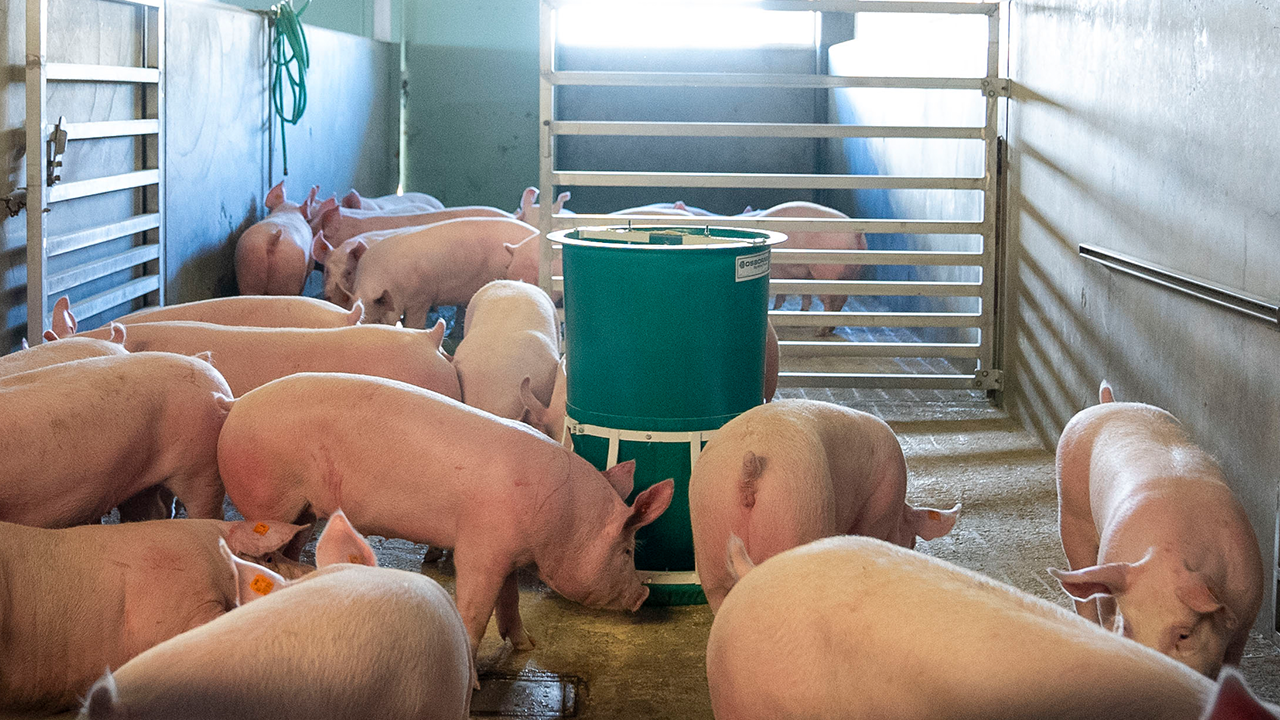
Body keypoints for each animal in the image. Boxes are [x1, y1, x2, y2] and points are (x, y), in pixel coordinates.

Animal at [216, 372, 675, 652]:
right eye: (629, 551)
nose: (644, 594)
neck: (566, 519)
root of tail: (235, 405)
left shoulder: (505, 553)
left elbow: (509, 600)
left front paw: (526, 645)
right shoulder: (479, 548)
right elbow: (474, 608)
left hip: (303, 511)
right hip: (265, 499)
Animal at [688, 399, 959, 612]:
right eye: (912, 542)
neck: (898, 513)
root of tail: (751, 468)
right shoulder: (879, 510)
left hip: (710, 533)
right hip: (800, 509)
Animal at [1049, 381, 1264, 679]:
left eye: (1184, 635)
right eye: (1126, 626)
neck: (1170, 552)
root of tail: (1110, 404)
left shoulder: (1245, 616)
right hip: (1070, 512)